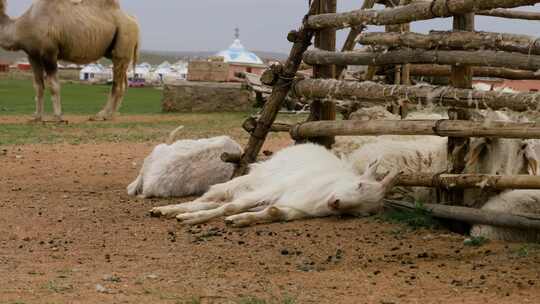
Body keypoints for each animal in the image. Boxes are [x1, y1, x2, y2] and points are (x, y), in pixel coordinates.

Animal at [0, 0, 139, 121]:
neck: (23, 26)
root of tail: (134, 21)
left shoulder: (50, 52)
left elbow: (54, 85)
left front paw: (57, 117)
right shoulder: (33, 55)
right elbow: (38, 86)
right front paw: (37, 117)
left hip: (124, 39)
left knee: (117, 84)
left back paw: (101, 115)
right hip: (119, 52)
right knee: (123, 82)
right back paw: (111, 115)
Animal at [149, 144, 400, 227]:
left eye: (360, 213)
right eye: (359, 185)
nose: (336, 203)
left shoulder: (295, 209)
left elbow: (272, 212)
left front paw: (240, 220)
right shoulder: (273, 190)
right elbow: (230, 207)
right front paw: (193, 220)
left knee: (211, 202)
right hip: (249, 181)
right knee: (207, 199)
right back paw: (170, 210)